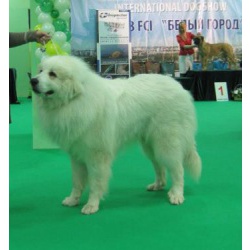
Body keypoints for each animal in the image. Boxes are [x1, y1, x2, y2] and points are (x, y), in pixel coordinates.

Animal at [30, 55, 202, 215]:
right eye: (41, 71)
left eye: (53, 74)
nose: (32, 80)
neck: (76, 99)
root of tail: (180, 88)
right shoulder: (77, 155)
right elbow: (77, 181)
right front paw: (73, 200)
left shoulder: (96, 155)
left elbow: (95, 182)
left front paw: (91, 205)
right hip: (151, 145)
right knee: (160, 167)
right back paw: (158, 185)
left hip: (167, 142)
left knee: (177, 169)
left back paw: (177, 195)